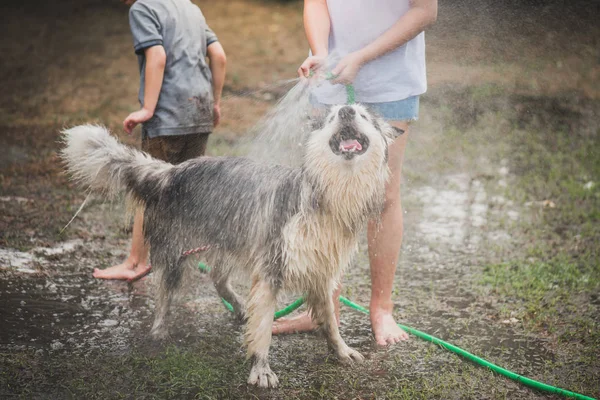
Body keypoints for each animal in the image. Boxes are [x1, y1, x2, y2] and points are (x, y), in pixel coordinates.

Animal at [61, 103, 404, 388]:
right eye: (333, 116)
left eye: (364, 115)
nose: (346, 110)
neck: (327, 194)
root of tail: (171, 170)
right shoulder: (270, 270)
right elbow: (263, 329)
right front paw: (261, 370)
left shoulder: (321, 272)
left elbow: (330, 320)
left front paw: (341, 351)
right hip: (177, 252)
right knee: (164, 293)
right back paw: (159, 331)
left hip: (228, 239)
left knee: (217, 279)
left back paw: (239, 308)